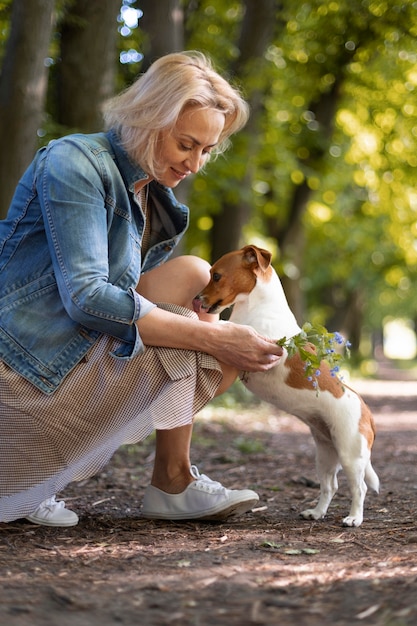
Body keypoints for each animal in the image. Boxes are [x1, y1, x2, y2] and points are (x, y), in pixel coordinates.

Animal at [193, 245, 378, 528]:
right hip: (326, 453)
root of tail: (367, 413)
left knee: (360, 488)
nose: (195, 299)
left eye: (216, 276)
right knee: (330, 486)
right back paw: (316, 512)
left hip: (350, 454)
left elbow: (227, 326)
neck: (255, 307)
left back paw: (354, 518)